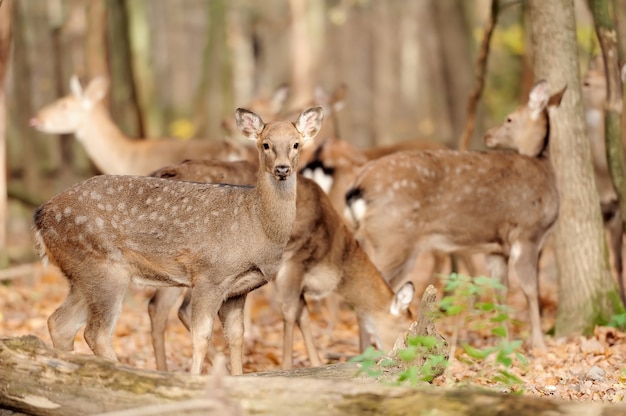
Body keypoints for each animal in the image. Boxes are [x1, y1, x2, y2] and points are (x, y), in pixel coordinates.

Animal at [33, 106, 322, 374]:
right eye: (266, 144)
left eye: (296, 144)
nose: (282, 169)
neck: (256, 224)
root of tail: (40, 216)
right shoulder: (209, 276)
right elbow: (200, 336)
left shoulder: (238, 290)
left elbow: (236, 337)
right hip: (104, 268)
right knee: (96, 332)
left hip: (82, 275)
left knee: (60, 322)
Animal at [147, 159, 414, 370]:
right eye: (406, 328)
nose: (404, 357)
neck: (332, 257)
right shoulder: (295, 261)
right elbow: (289, 313)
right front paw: (287, 366)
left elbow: (303, 315)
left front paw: (316, 363)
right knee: (181, 309)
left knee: (157, 307)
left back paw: (163, 370)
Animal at [344, 80, 564, 348]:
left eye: (509, 119)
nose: (488, 135)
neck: (545, 170)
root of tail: (358, 184)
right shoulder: (527, 232)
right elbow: (530, 290)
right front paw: (539, 344)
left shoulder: (496, 249)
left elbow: (501, 292)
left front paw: (504, 343)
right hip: (392, 238)